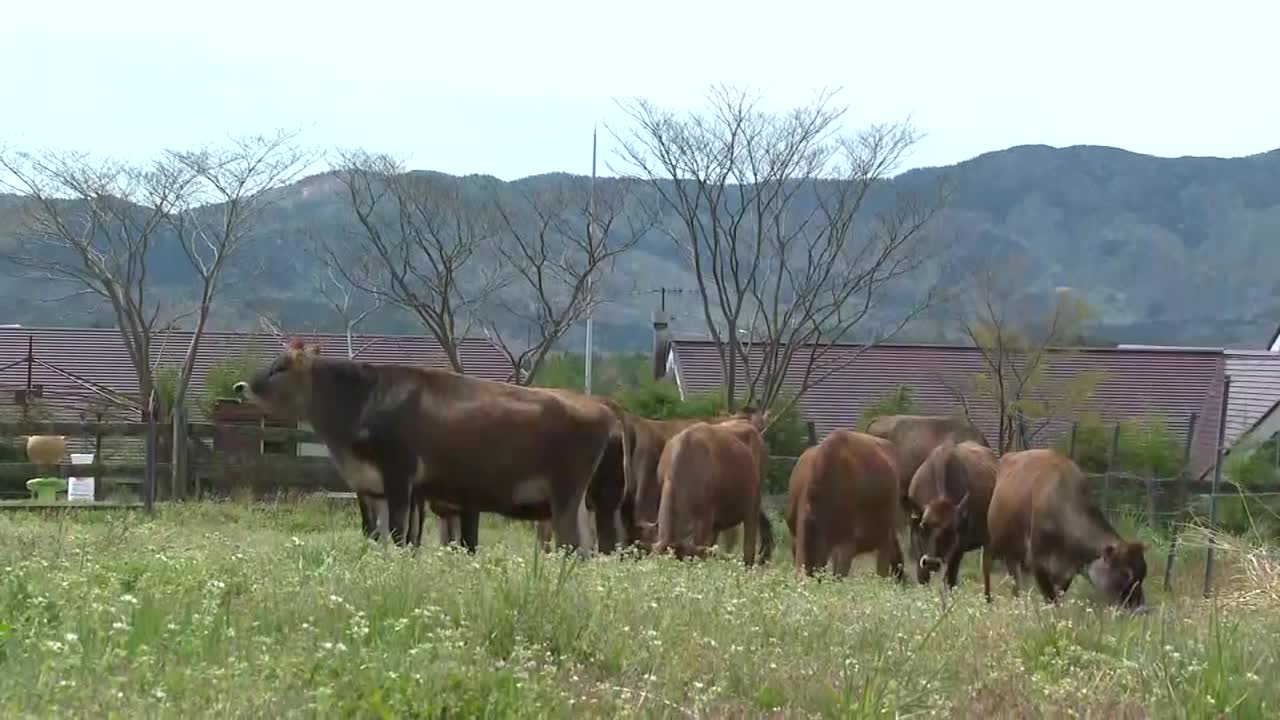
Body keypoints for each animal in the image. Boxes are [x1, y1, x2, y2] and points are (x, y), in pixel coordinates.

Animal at [239, 338, 624, 545]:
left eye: (281, 367)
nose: (241, 387)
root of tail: (599, 406)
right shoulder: (371, 487)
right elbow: (378, 537)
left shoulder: (400, 476)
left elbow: (398, 535)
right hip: (580, 503)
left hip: (565, 496)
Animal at [911, 440, 998, 586]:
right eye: (923, 526)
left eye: (951, 531)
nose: (932, 563)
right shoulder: (916, 537)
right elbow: (922, 576)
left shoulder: (959, 547)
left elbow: (951, 580)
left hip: (988, 541)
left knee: (986, 570)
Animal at [977, 448, 1152, 604]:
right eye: (1125, 574)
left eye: (1143, 574)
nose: (1140, 606)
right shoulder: (1038, 562)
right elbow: (1051, 598)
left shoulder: (1069, 569)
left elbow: (1059, 594)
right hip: (992, 539)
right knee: (987, 565)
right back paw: (988, 598)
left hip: (1014, 552)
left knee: (1015, 578)